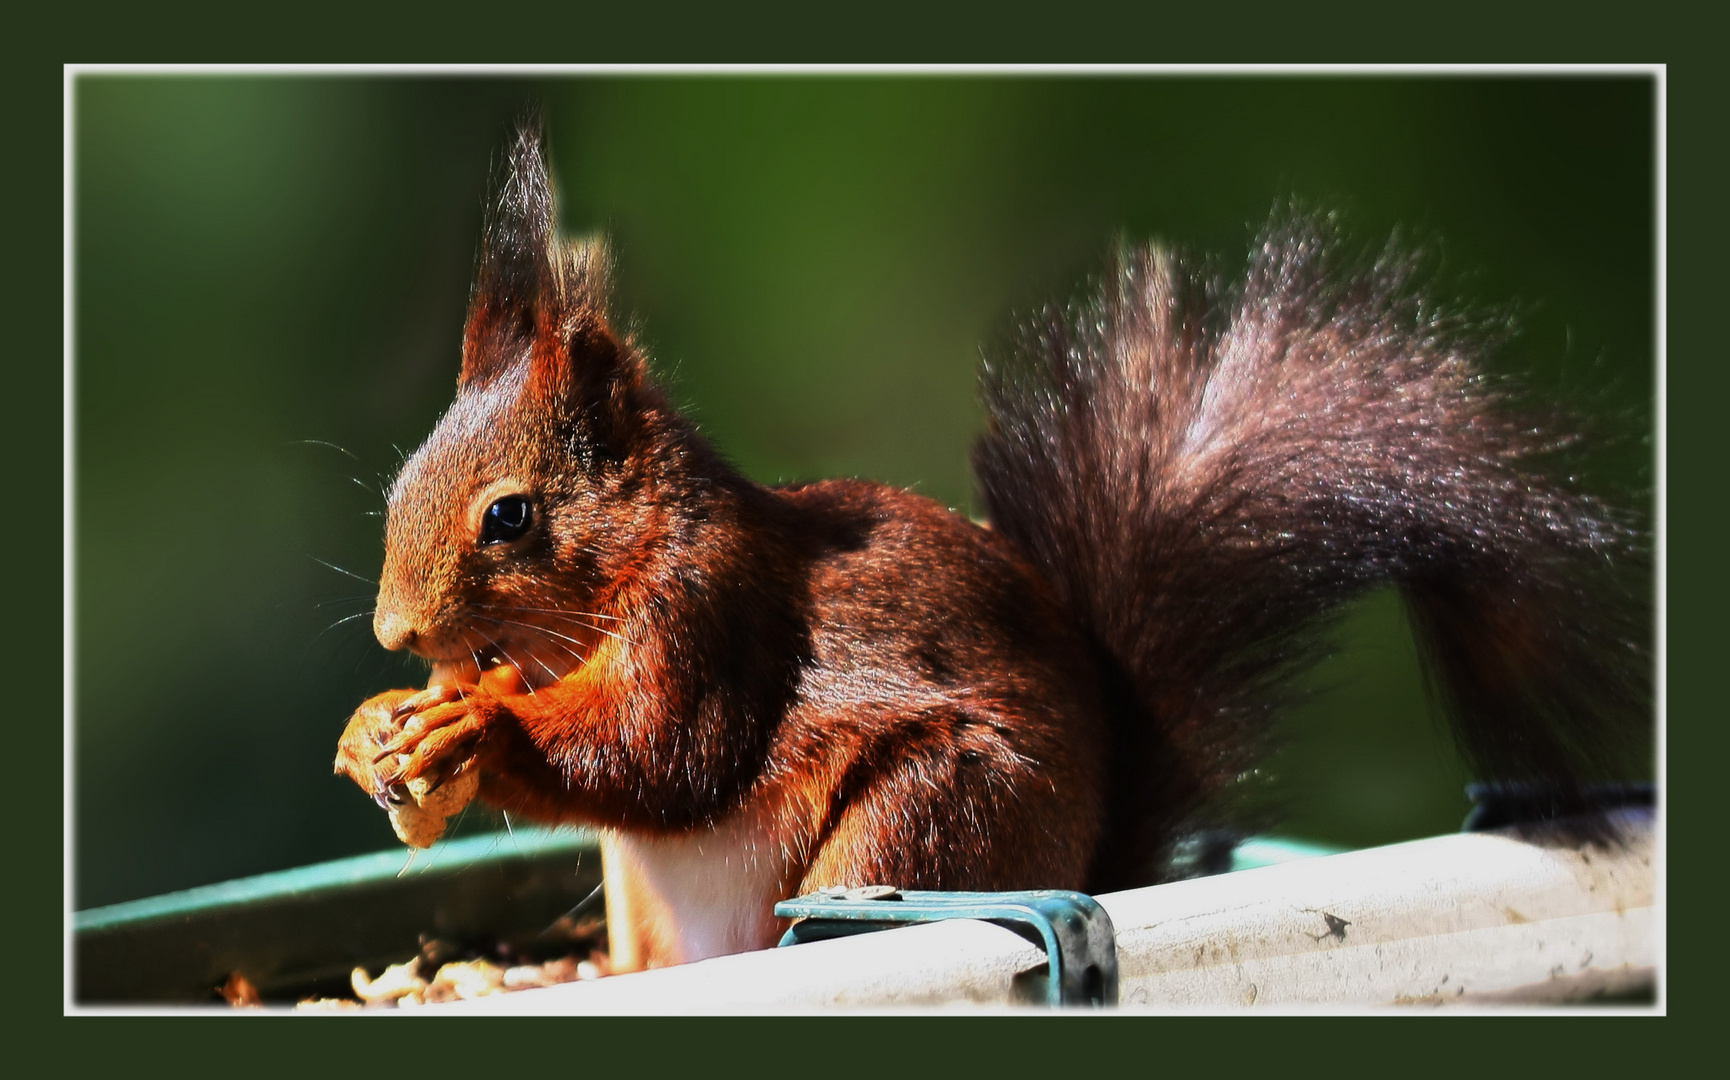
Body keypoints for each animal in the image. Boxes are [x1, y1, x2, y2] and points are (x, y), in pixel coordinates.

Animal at [333, 115, 1646, 969]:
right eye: (398, 483)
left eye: (509, 515)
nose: (395, 632)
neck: (623, 568)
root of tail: (1096, 854)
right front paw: (375, 732)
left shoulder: (716, 611)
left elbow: (664, 752)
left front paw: (477, 728)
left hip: (932, 805)